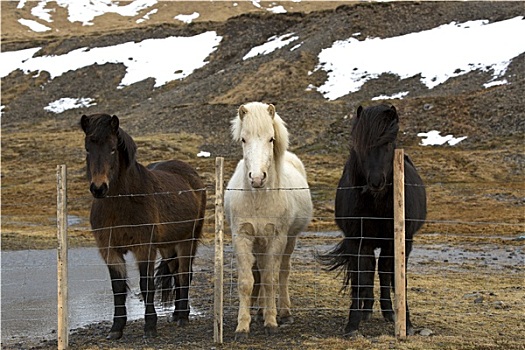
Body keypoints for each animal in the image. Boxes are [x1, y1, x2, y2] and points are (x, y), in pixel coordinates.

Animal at [81, 114, 206, 340]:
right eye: (88, 149)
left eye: (113, 149)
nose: (98, 188)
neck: (122, 203)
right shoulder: (109, 250)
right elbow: (118, 287)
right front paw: (116, 328)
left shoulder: (144, 248)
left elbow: (146, 285)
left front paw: (149, 326)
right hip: (167, 246)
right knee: (176, 273)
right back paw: (176, 314)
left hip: (188, 240)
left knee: (185, 273)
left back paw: (183, 316)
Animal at [224, 102, 314, 340]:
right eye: (243, 139)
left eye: (271, 139)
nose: (257, 178)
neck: (258, 198)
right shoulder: (242, 237)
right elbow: (247, 281)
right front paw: (242, 326)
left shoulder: (277, 238)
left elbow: (271, 279)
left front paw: (271, 323)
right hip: (259, 242)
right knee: (260, 270)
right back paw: (259, 311)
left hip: (289, 240)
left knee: (282, 272)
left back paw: (283, 312)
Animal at [320, 103, 426, 336]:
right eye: (361, 144)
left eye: (388, 143)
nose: (376, 181)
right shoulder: (358, 242)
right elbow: (361, 280)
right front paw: (352, 325)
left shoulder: (401, 242)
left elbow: (397, 279)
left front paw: (407, 323)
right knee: (369, 273)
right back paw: (367, 311)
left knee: (384, 273)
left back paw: (389, 313)